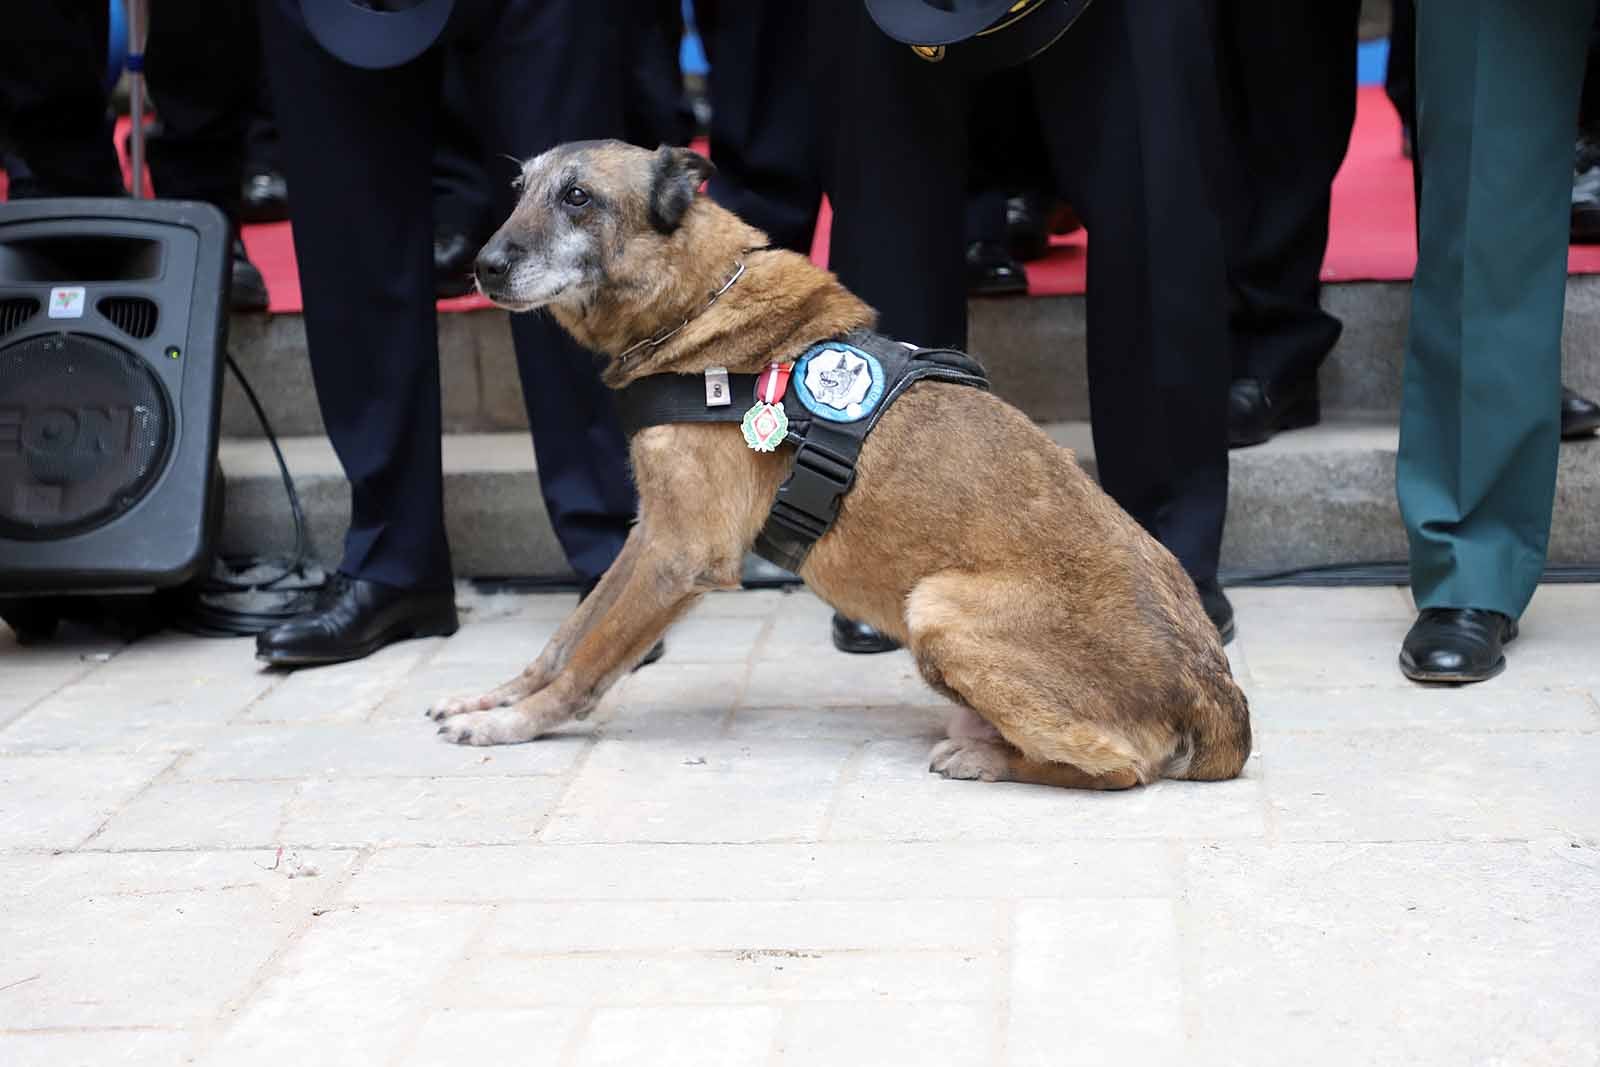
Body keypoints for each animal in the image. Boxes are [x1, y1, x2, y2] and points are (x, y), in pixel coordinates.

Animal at [428, 139, 1248, 793]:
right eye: (520, 189)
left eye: (578, 197)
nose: (481, 267)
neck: (698, 305)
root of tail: (1218, 696)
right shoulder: (649, 534)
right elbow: (568, 634)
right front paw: (496, 698)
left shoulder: (679, 554)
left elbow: (589, 662)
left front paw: (517, 725)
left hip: (937, 604)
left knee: (1119, 768)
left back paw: (989, 759)